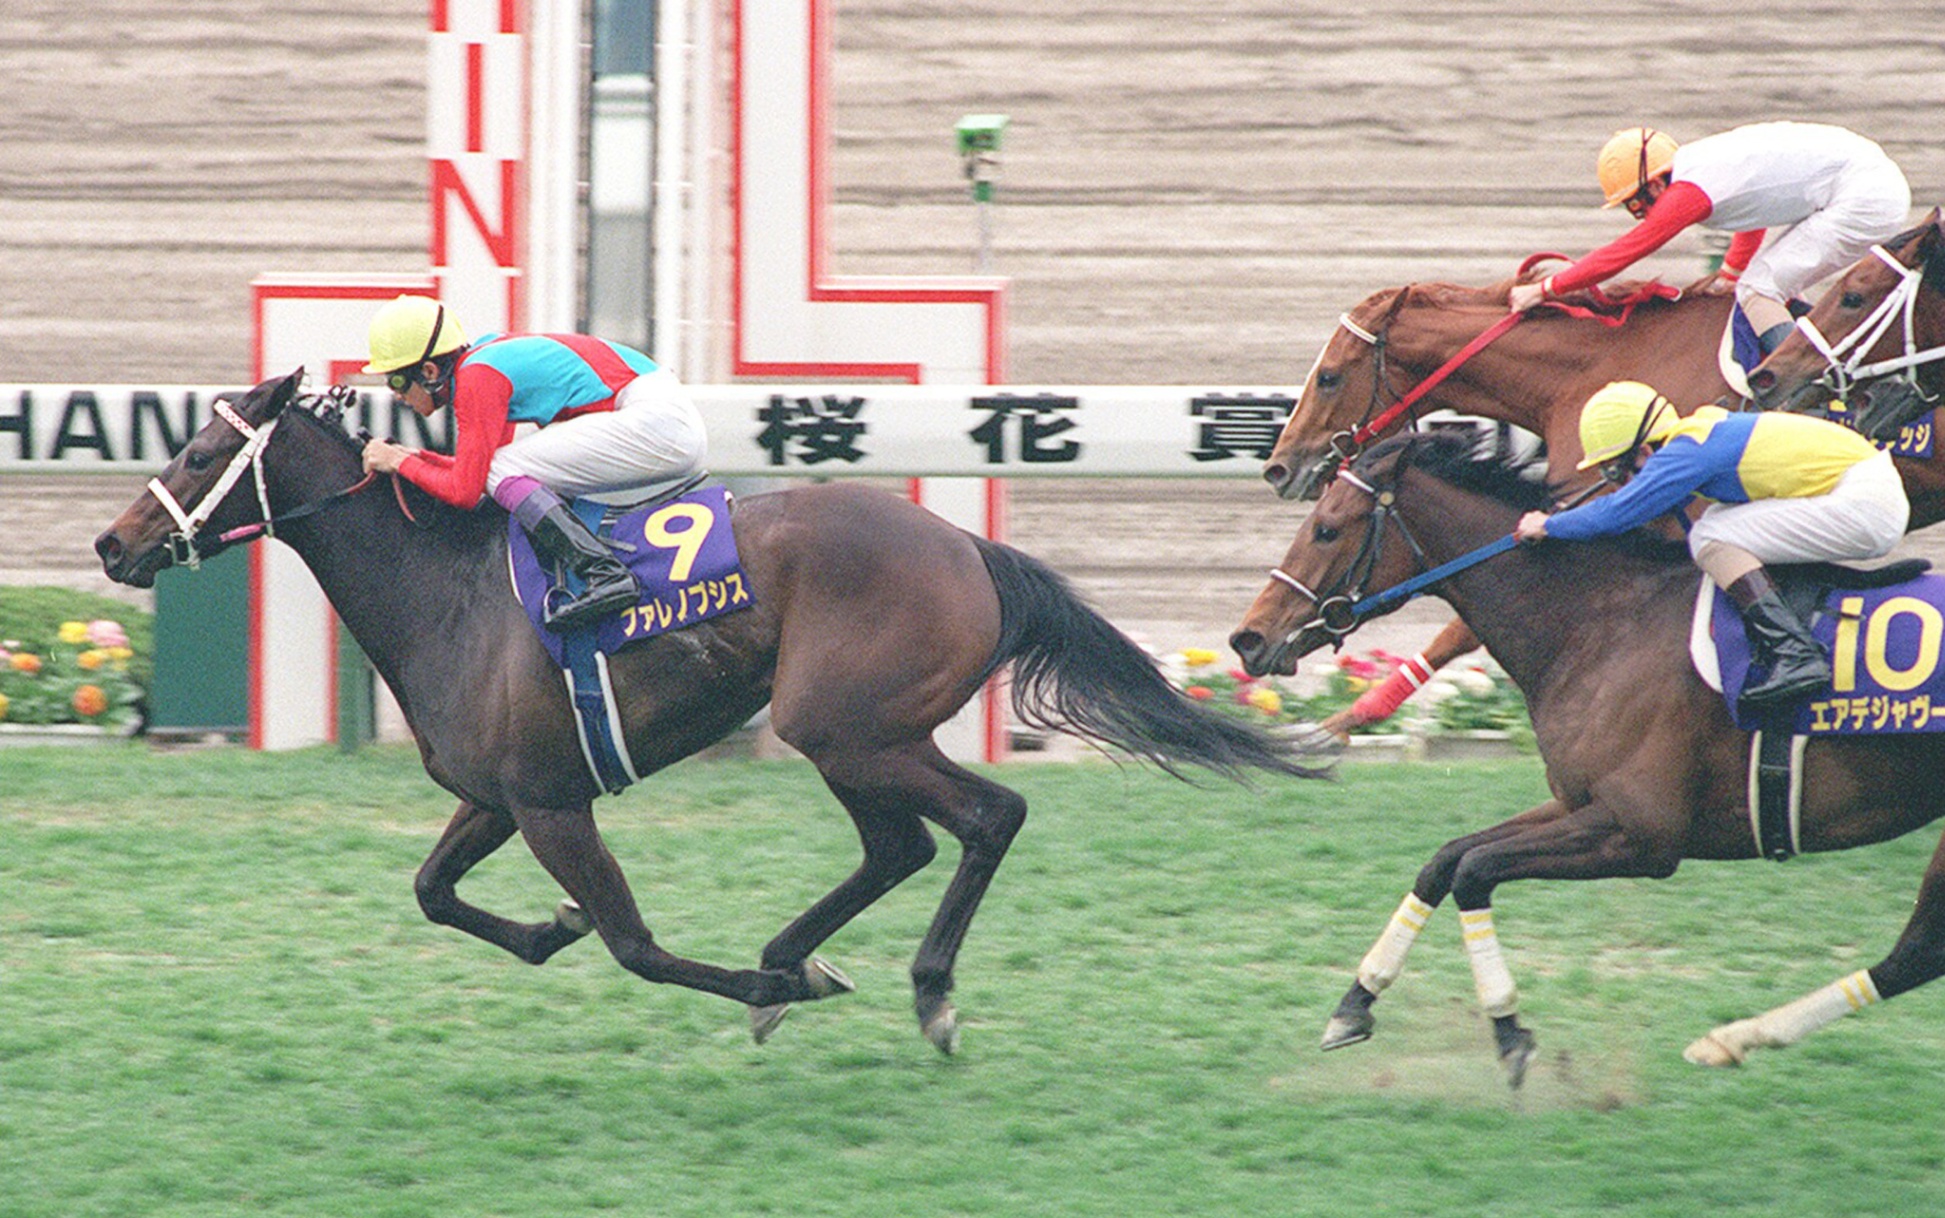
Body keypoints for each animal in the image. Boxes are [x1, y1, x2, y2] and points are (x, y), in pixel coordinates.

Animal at [95, 370, 1324, 1054]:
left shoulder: (553, 805)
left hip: (846, 725)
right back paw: (806, 954)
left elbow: (635, 946)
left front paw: (763, 985)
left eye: (198, 451)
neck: (446, 590)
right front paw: (555, 928)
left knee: (985, 818)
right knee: (902, 846)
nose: (111, 544)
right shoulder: (502, 795)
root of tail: (966, 545)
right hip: (857, 736)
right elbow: (435, 892)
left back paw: (912, 990)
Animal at [1228, 429, 1945, 1087]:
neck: (1601, 624)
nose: (1247, 638)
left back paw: (1733, 1037)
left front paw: (1508, 1030)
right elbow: (1446, 859)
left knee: (1915, 952)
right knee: (1917, 954)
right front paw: (1355, 1003)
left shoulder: (1642, 833)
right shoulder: (1579, 802)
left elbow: (1475, 870)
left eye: (1325, 530)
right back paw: (1734, 1039)